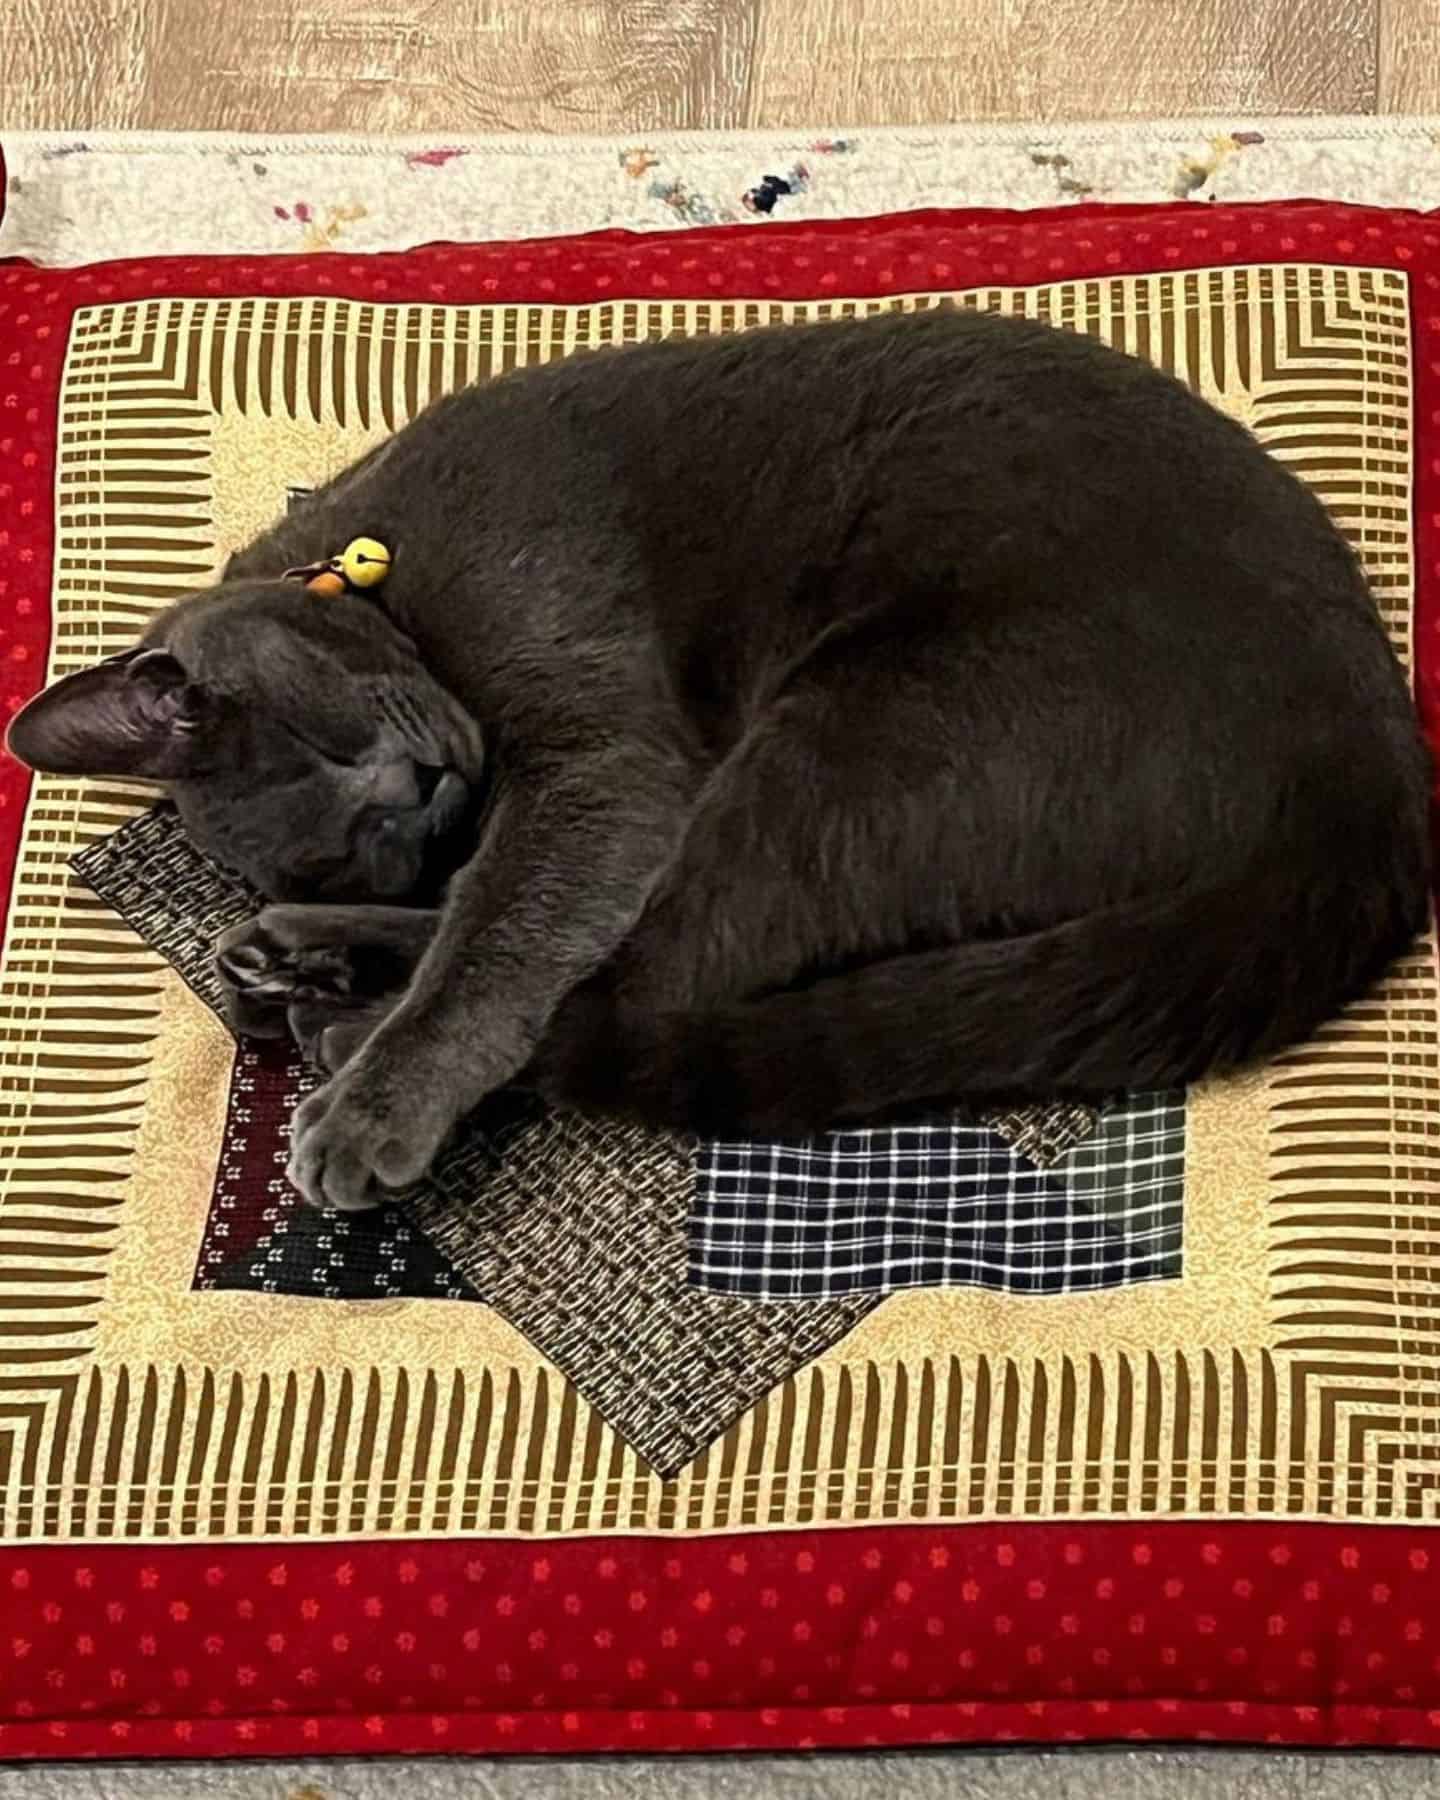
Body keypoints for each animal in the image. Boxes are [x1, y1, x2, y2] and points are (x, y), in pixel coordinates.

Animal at [8, 306, 1425, 1209]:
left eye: (319, 732)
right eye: (353, 835)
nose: (420, 796)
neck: (385, 563)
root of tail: (1372, 784)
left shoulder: (601, 759)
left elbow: (500, 931)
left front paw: (379, 1094)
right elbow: (487, 907)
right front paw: (332, 927)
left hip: (851, 742)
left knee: (651, 987)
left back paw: (332, 1032)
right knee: (650, 967)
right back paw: (291, 965)